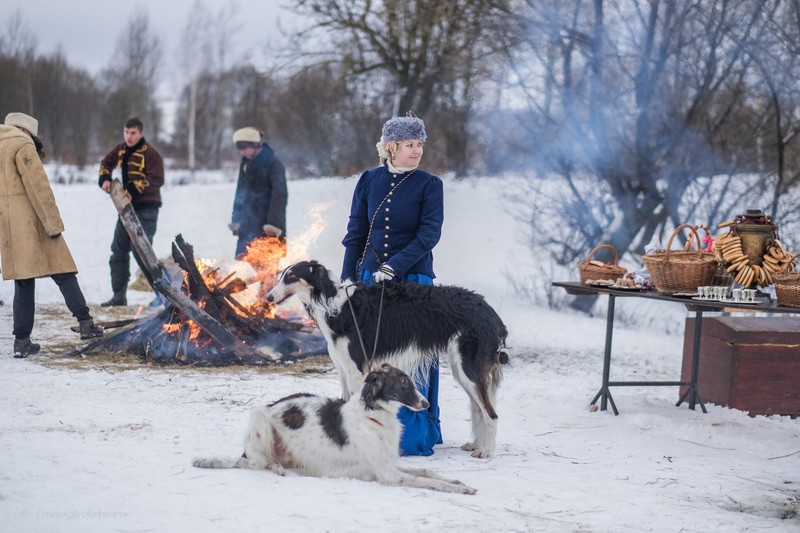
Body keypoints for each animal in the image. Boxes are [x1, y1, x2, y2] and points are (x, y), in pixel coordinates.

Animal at [193, 364, 476, 492]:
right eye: (403, 381)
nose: (427, 403)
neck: (373, 416)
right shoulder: (388, 474)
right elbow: (428, 481)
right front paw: (463, 488)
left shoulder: (389, 463)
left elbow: (428, 471)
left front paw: (455, 480)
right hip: (258, 417)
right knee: (256, 464)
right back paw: (274, 468)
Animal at [266, 258, 510, 458]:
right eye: (282, 274)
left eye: (291, 276)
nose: (268, 297)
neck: (336, 307)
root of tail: (492, 315)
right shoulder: (343, 369)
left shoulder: (356, 370)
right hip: (463, 370)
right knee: (480, 409)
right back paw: (477, 444)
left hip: (468, 369)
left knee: (492, 413)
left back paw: (486, 451)